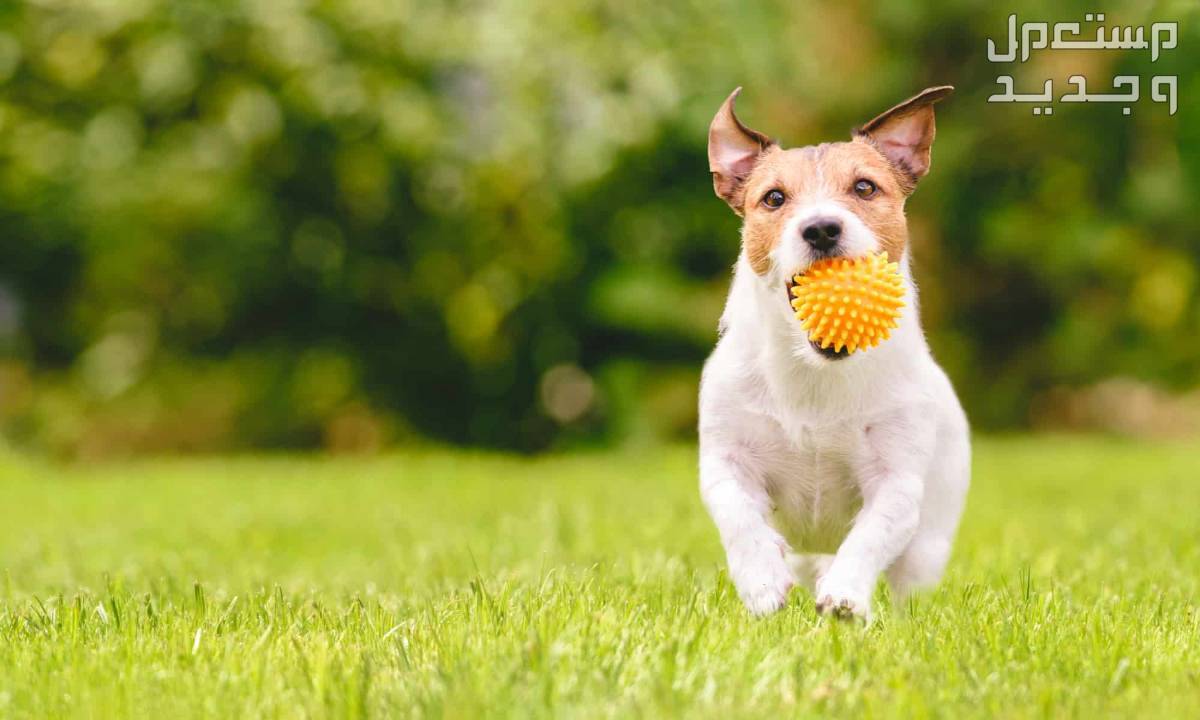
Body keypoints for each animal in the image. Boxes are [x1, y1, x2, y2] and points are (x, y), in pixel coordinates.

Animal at [700, 85, 969, 619]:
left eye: (864, 188)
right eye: (774, 198)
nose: (822, 228)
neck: (815, 374)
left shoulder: (896, 481)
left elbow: (871, 534)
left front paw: (845, 595)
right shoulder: (725, 460)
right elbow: (738, 516)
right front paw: (762, 581)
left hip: (929, 543)